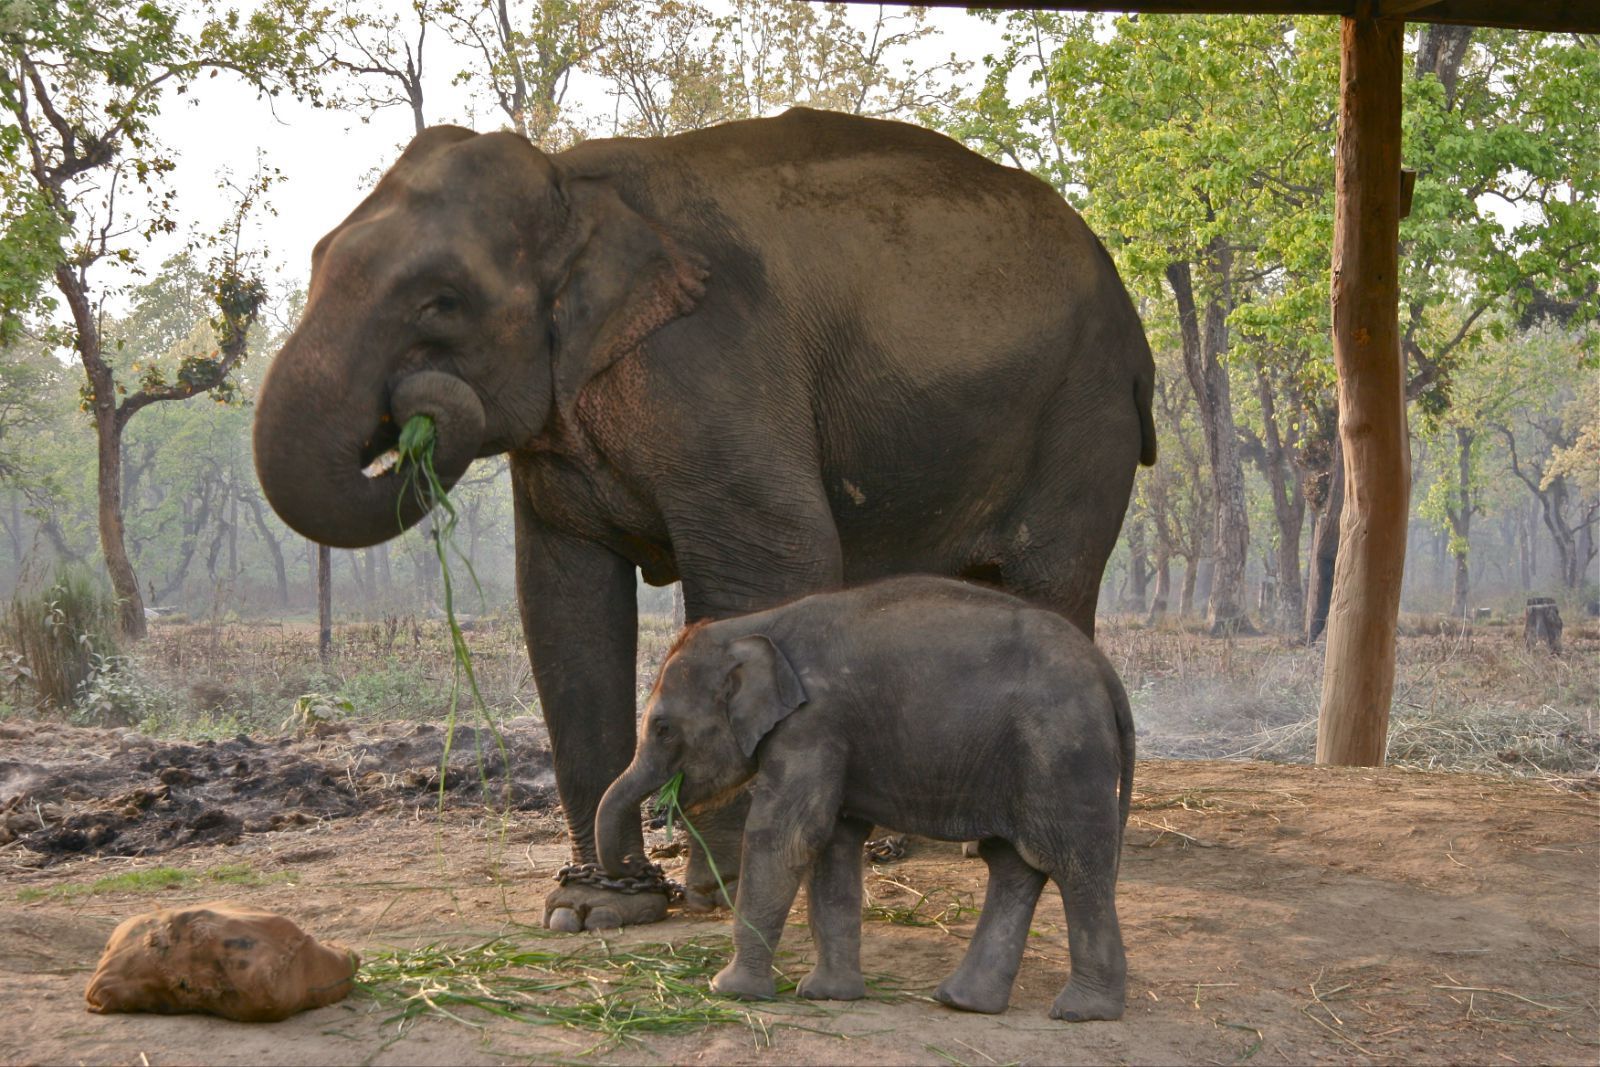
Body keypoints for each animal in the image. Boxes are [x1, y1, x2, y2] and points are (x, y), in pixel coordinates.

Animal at [252, 103, 1152, 927]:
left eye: (440, 300)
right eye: (318, 257)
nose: (418, 414)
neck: (574, 182)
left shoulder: (715, 365)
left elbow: (775, 561)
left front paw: (725, 887)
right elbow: (564, 605)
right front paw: (594, 905)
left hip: (1086, 413)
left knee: (1048, 588)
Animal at [595, 572, 1132, 1023]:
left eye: (662, 728)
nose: (640, 867)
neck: (754, 625)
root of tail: (1105, 670)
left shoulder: (813, 724)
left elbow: (785, 836)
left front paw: (730, 990)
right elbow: (833, 842)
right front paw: (828, 995)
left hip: (1063, 752)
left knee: (1075, 864)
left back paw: (1081, 1012)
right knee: (1013, 865)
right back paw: (962, 1001)